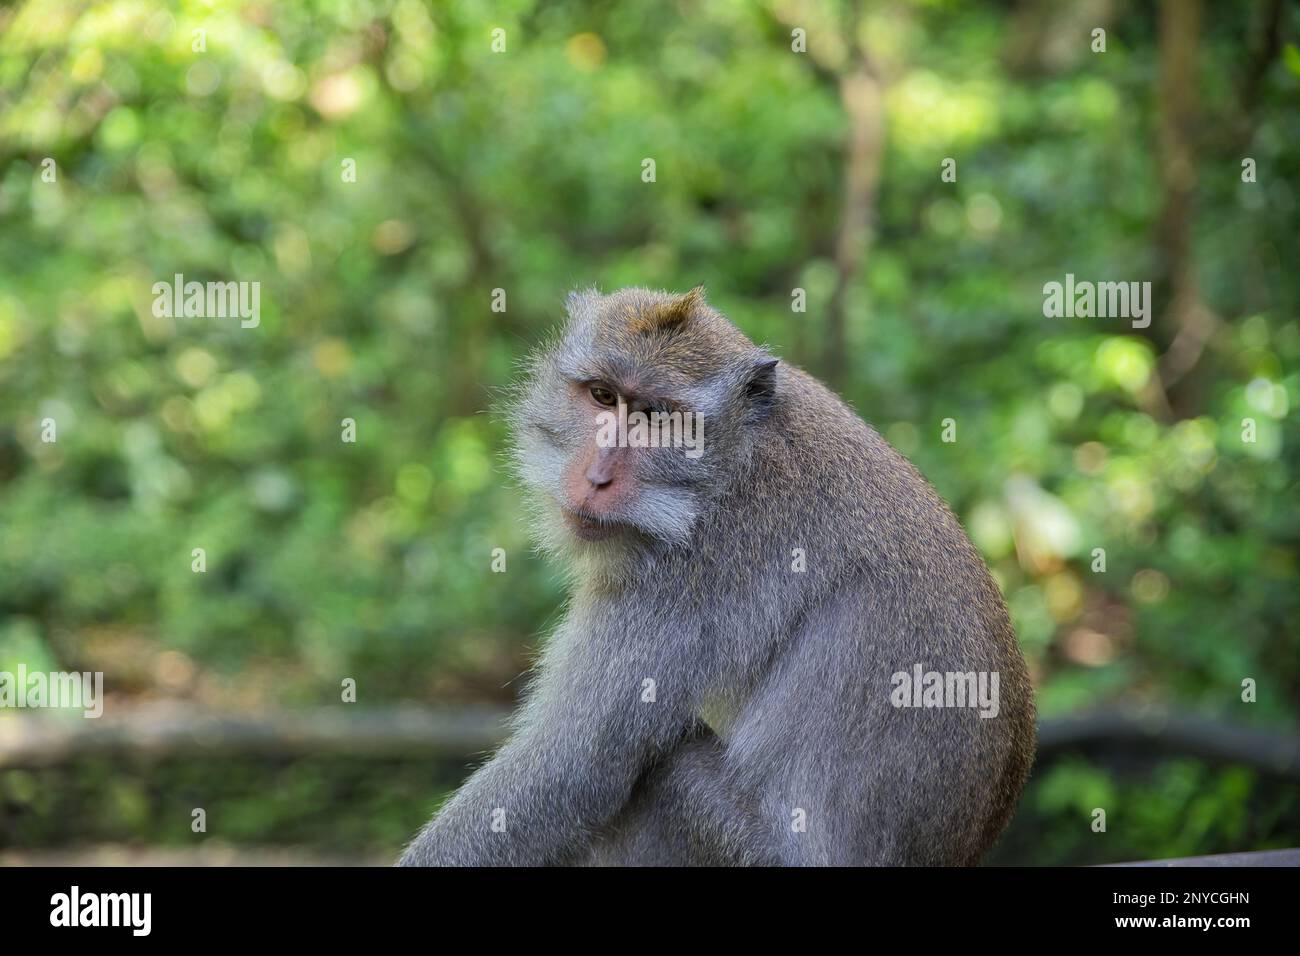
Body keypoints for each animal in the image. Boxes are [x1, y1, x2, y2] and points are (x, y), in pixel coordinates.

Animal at [397, 283, 1034, 868]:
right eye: (602, 395)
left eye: (655, 418)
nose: (597, 477)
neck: (727, 466)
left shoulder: (691, 573)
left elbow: (566, 771)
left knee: (670, 776)